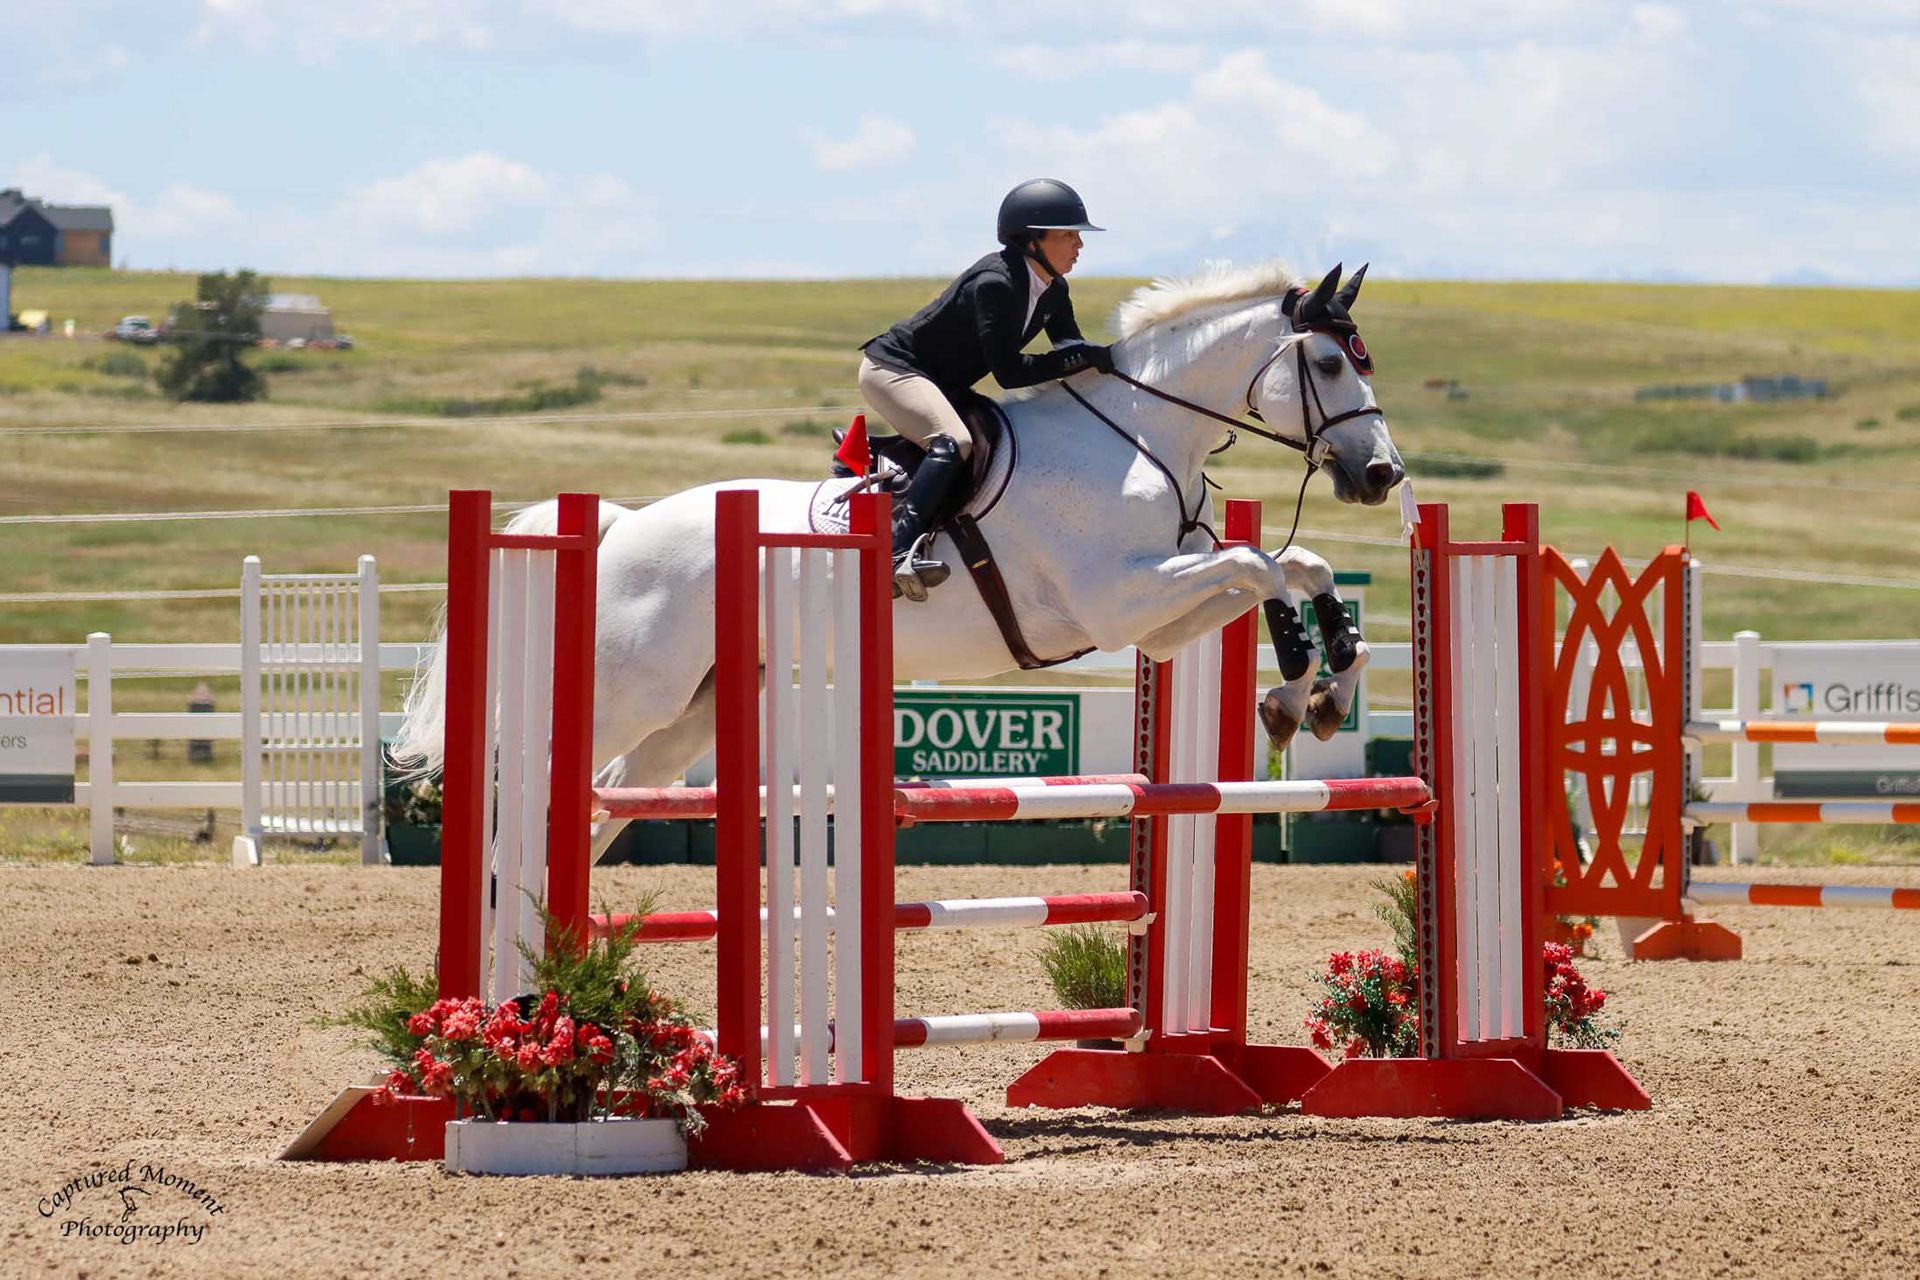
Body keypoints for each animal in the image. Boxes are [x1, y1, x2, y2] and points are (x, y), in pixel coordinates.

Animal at [393, 261, 1405, 859]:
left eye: (1363, 361)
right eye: (1326, 364)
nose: (1382, 474)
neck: (1141, 435)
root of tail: (619, 529)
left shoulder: (1159, 621)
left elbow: (1297, 563)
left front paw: (1319, 689)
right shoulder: (1121, 600)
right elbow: (1263, 565)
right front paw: (1293, 685)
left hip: (692, 710)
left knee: (611, 802)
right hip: (627, 693)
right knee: (544, 796)